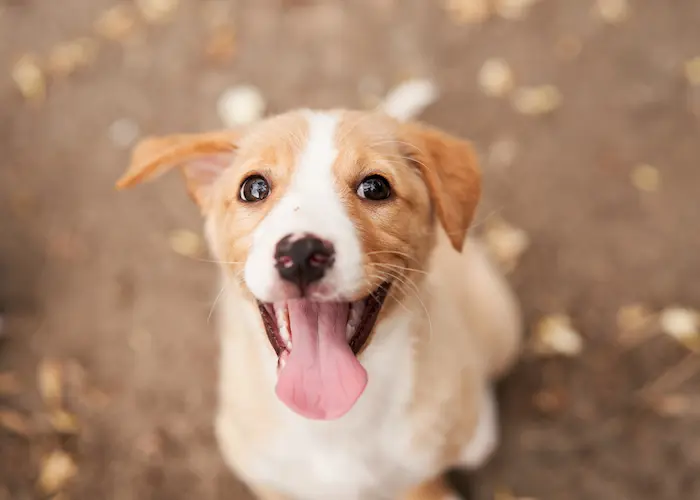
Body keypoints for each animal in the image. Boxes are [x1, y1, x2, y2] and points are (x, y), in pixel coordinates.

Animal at [116, 106, 520, 500]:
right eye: (253, 188)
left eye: (376, 187)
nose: (301, 253)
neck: (333, 421)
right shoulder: (268, 481)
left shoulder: (419, 473)